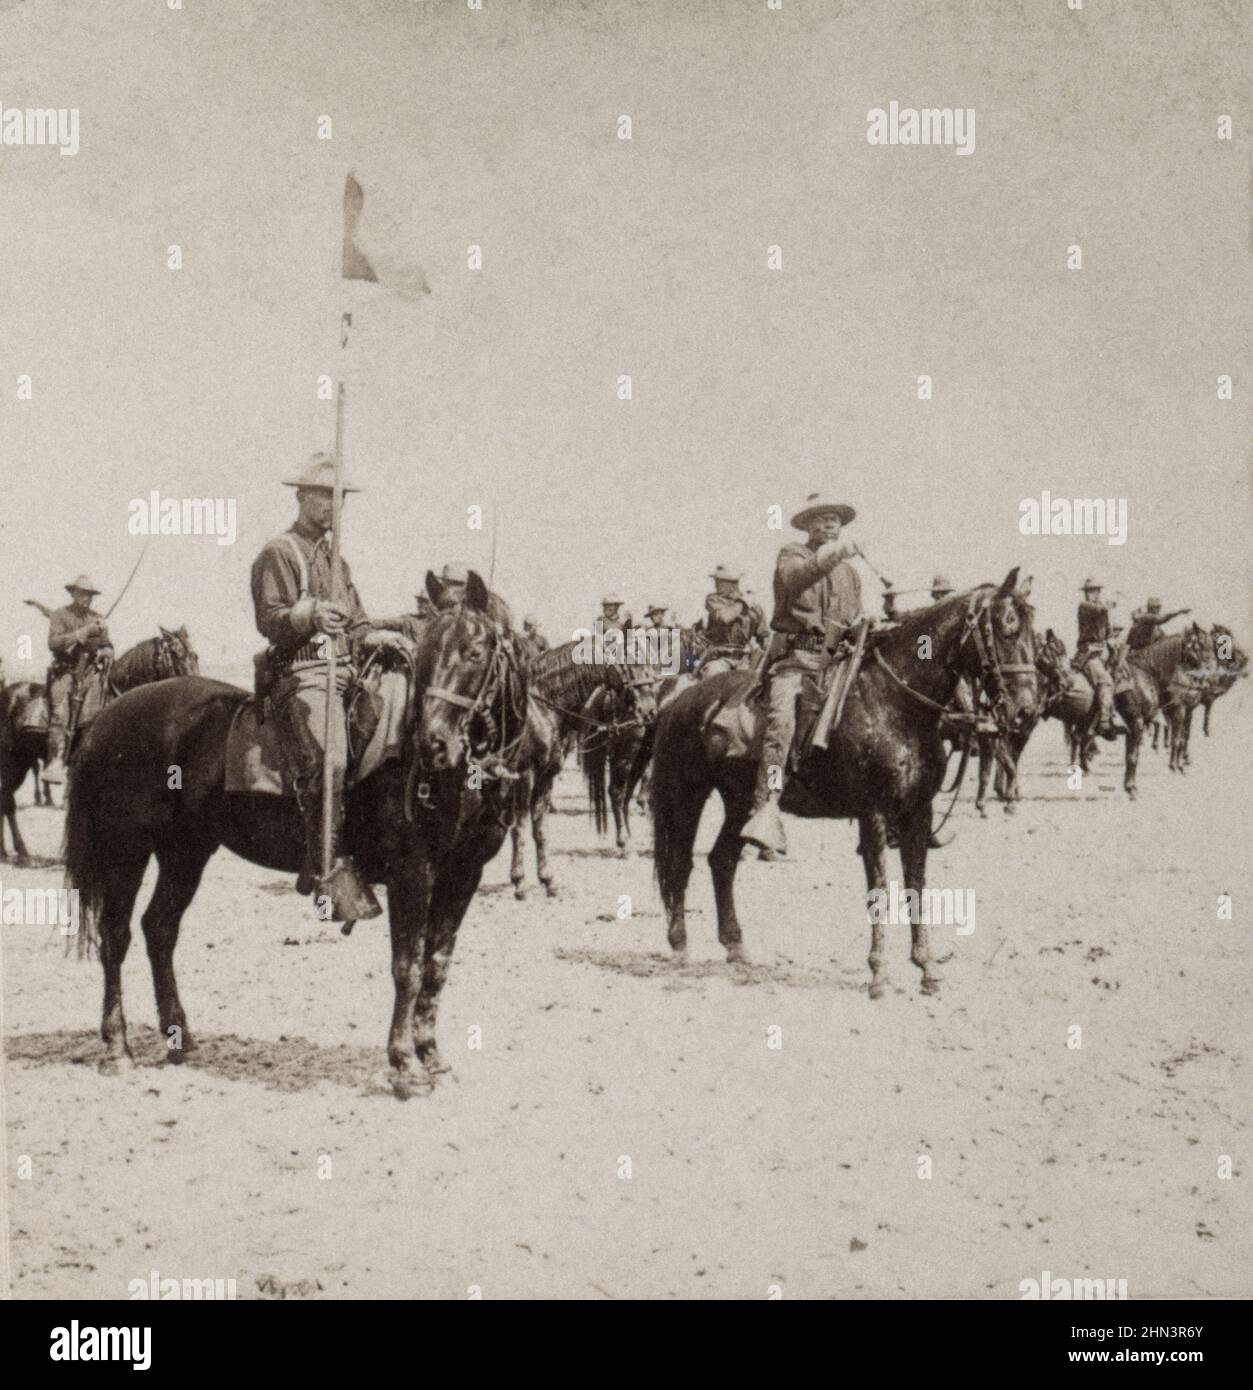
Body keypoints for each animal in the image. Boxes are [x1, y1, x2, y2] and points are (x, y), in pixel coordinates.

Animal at [62, 575, 522, 1095]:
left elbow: (437, 965)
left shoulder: (462, 875)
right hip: (127, 851)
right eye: (426, 653)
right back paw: (117, 1048)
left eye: (476, 651)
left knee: (159, 928)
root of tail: (106, 718)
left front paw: (432, 1056)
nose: (433, 744)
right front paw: (405, 1064)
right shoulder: (412, 873)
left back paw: (180, 1038)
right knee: (115, 935)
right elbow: (407, 966)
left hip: (185, 852)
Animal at [645, 575, 1034, 1000]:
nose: (1026, 709)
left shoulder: (918, 812)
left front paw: (927, 968)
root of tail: (680, 700)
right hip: (687, 794)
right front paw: (879, 973)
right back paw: (679, 944)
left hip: (740, 802)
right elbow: (880, 889)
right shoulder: (874, 814)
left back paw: (735, 946)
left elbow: (916, 887)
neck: (895, 703)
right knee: (681, 862)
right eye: (1008, 627)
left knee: (722, 861)